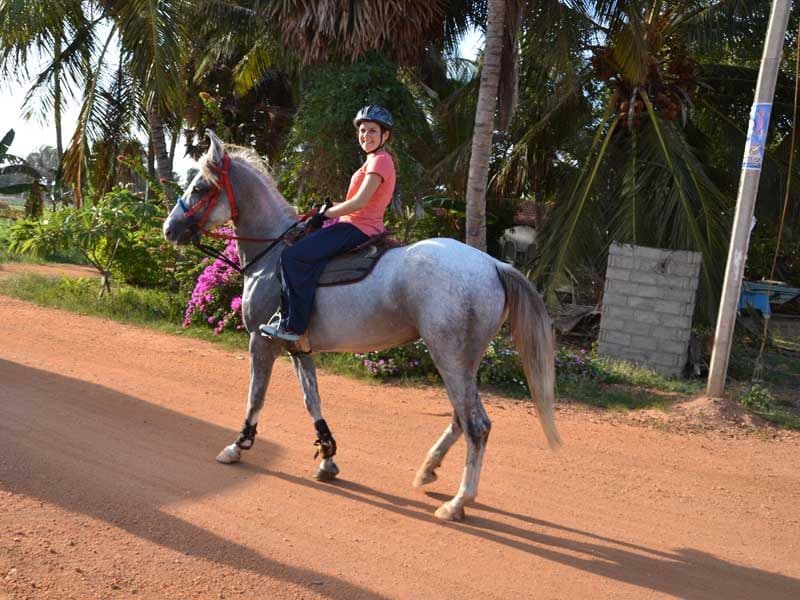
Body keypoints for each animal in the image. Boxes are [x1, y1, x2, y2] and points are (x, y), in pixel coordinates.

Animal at [162, 131, 560, 521]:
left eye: (199, 187)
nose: (169, 229)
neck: (274, 254)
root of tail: (494, 264)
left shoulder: (262, 343)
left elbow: (255, 397)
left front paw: (238, 445)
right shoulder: (298, 347)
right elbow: (312, 400)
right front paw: (327, 457)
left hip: (449, 356)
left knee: (476, 425)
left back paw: (458, 502)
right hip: (463, 360)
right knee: (462, 418)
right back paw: (428, 469)